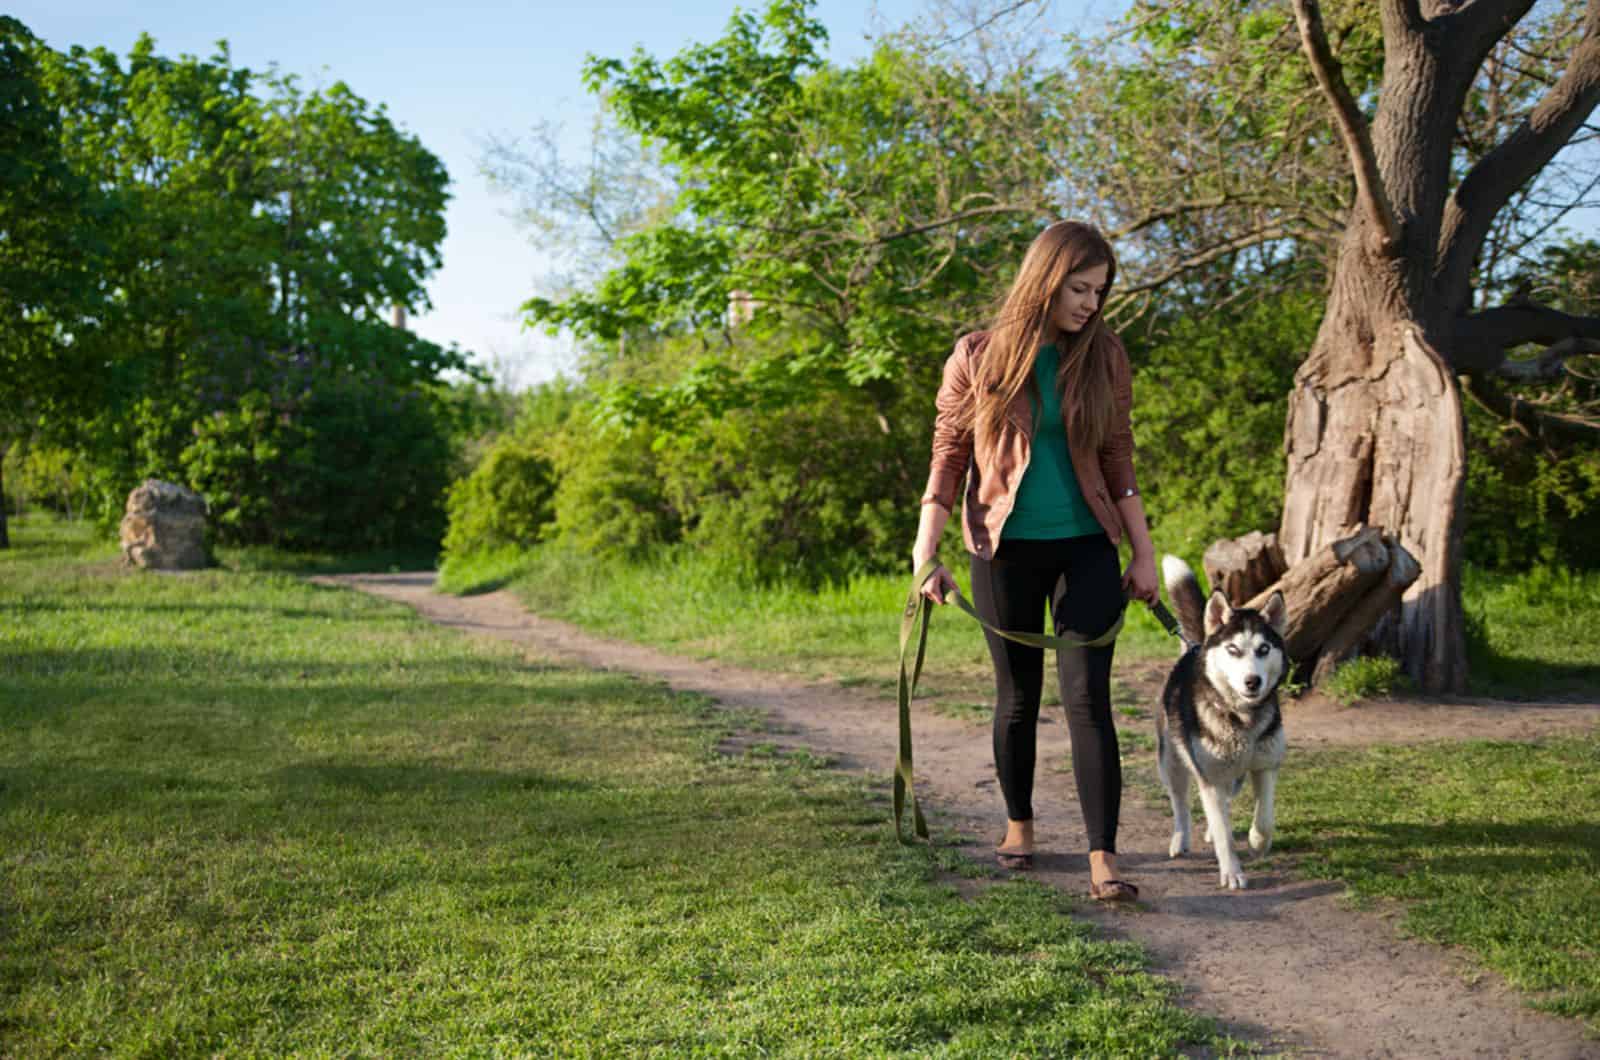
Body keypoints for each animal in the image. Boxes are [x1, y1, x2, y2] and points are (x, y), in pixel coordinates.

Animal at [1158, 560, 1292, 890]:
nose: (1252, 681)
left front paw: (1258, 842)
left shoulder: (1265, 766)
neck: (1241, 718)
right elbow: (1223, 833)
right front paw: (1232, 871)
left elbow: (1265, 818)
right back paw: (1181, 839)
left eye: (1264, 649)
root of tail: (1196, 646)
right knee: (1181, 803)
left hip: (1234, 776)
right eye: (1233, 650)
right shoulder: (1209, 777)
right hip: (1172, 762)